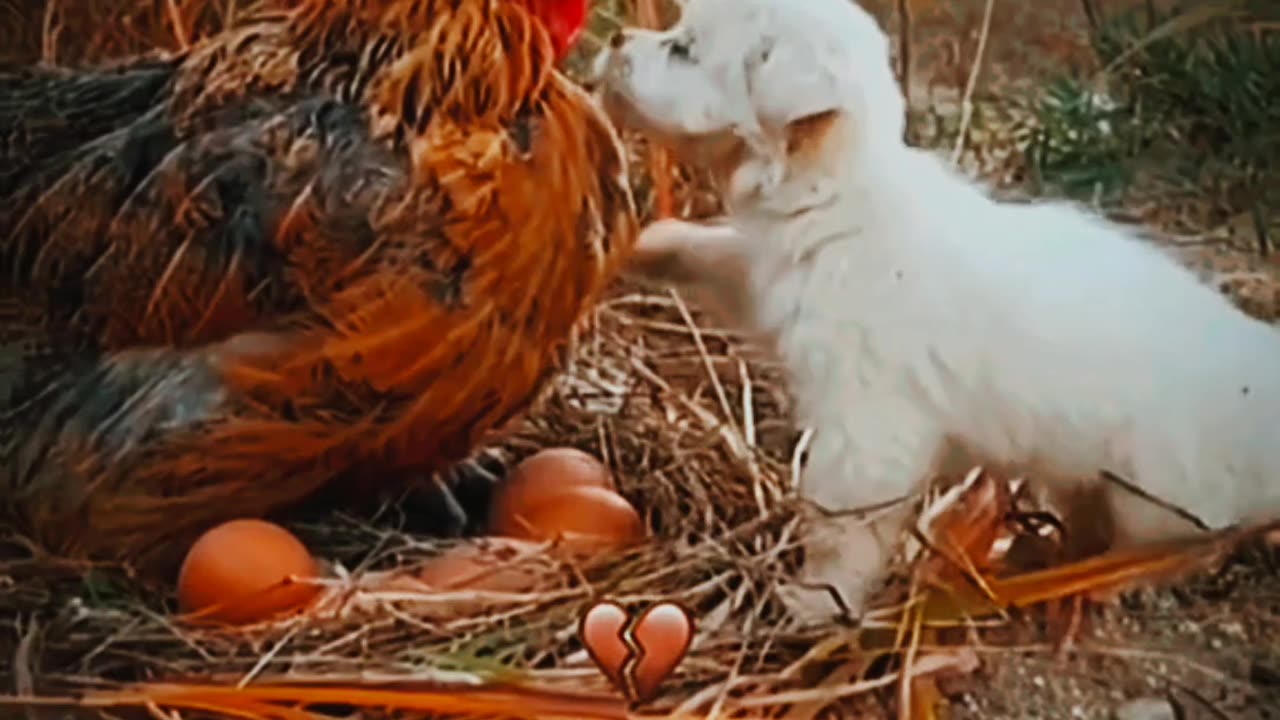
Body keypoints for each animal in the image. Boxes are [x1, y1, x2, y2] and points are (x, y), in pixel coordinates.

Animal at [593, 0, 1280, 620]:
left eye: (685, 50)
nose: (618, 38)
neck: (838, 198)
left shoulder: (865, 428)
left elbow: (842, 526)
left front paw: (816, 602)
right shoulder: (762, 279)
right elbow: (714, 252)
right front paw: (648, 244)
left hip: (1160, 494)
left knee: (1185, 546)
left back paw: (1108, 582)